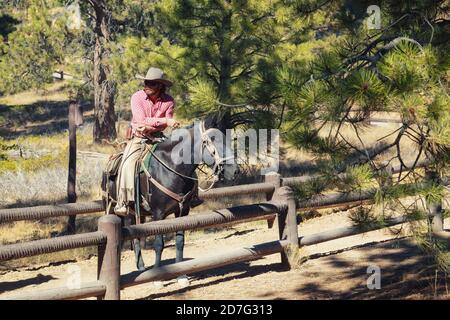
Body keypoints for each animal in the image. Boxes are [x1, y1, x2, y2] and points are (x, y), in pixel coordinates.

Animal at [100, 114, 237, 284]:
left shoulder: (182, 211)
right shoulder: (158, 214)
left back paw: (141, 267)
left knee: (135, 236)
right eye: (212, 139)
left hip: (134, 213)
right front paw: (157, 278)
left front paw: (182, 276)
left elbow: (179, 242)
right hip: (113, 207)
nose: (234, 170)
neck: (171, 168)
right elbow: (159, 244)